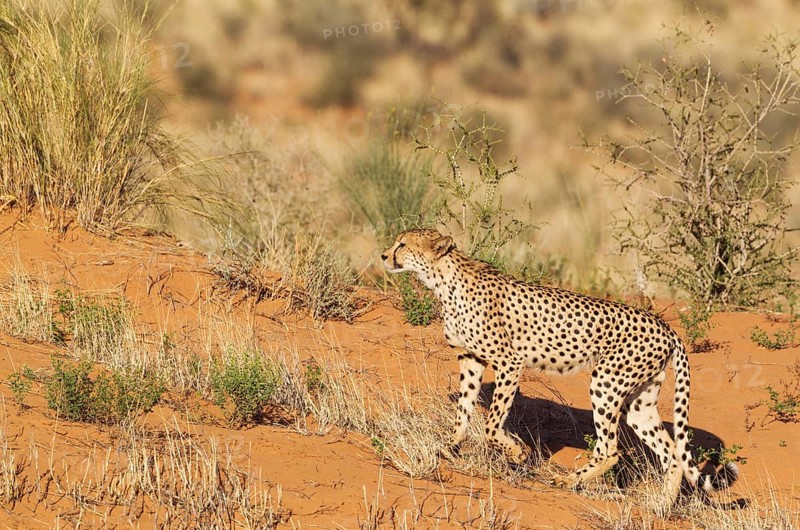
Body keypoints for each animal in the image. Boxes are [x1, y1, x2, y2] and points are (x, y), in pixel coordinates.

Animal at [381, 229, 737, 501]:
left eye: (403, 244)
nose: (384, 256)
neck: (443, 280)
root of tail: (666, 326)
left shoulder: (509, 362)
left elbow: (492, 423)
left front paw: (517, 453)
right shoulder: (470, 359)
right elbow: (464, 410)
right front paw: (451, 446)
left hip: (606, 381)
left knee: (610, 449)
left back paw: (568, 480)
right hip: (640, 401)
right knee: (672, 453)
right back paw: (661, 507)